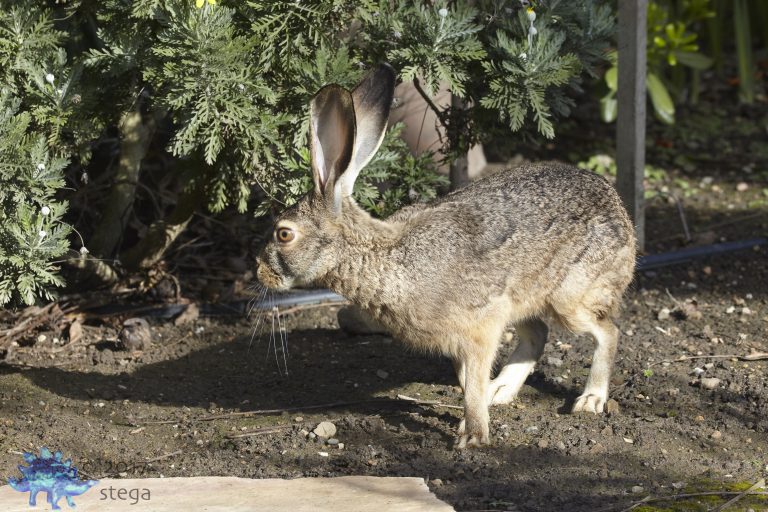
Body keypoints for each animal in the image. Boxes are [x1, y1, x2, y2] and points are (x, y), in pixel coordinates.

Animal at [256, 64, 636, 449]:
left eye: (284, 234)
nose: (260, 270)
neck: (382, 252)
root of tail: (618, 207)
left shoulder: (481, 329)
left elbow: (472, 384)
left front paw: (473, 437)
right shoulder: (470, 335)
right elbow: (467, 381)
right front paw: (475, 413)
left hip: (569, 299)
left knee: (608, 332)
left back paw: (590, 400)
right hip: (521, 300)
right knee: (538, 334)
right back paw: (500, 390)